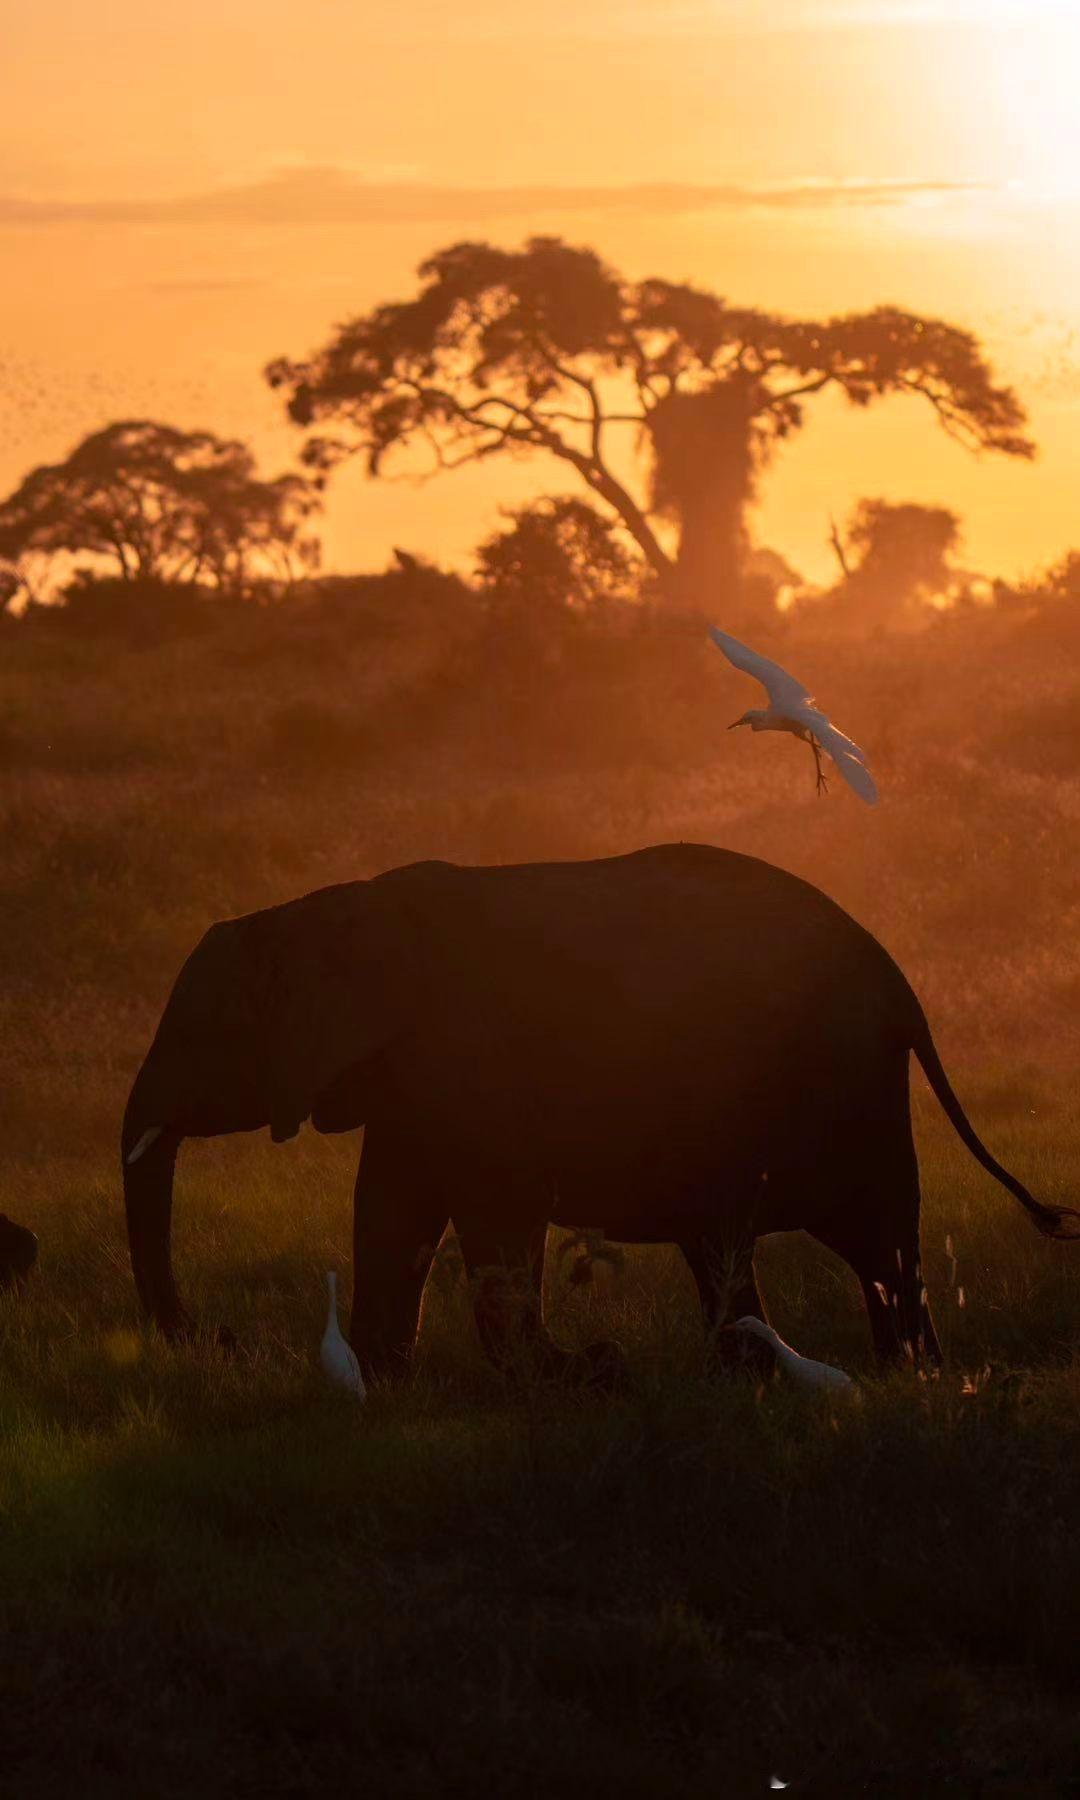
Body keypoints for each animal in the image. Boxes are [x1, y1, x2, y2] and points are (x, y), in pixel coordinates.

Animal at [122, 843, 1079, 1375]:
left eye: (203, 1036)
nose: (226, 1341)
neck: (323, 910)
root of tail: (902, 988)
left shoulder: (472, 1061)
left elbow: (492, 1216)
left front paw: (587, 1372)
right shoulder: (414, 1080)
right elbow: (392, 1210)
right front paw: (384, 1380)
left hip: (841, 1086)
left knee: (856, 1237)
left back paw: (872, 1377)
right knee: (787, 1244)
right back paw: (850, 1376)